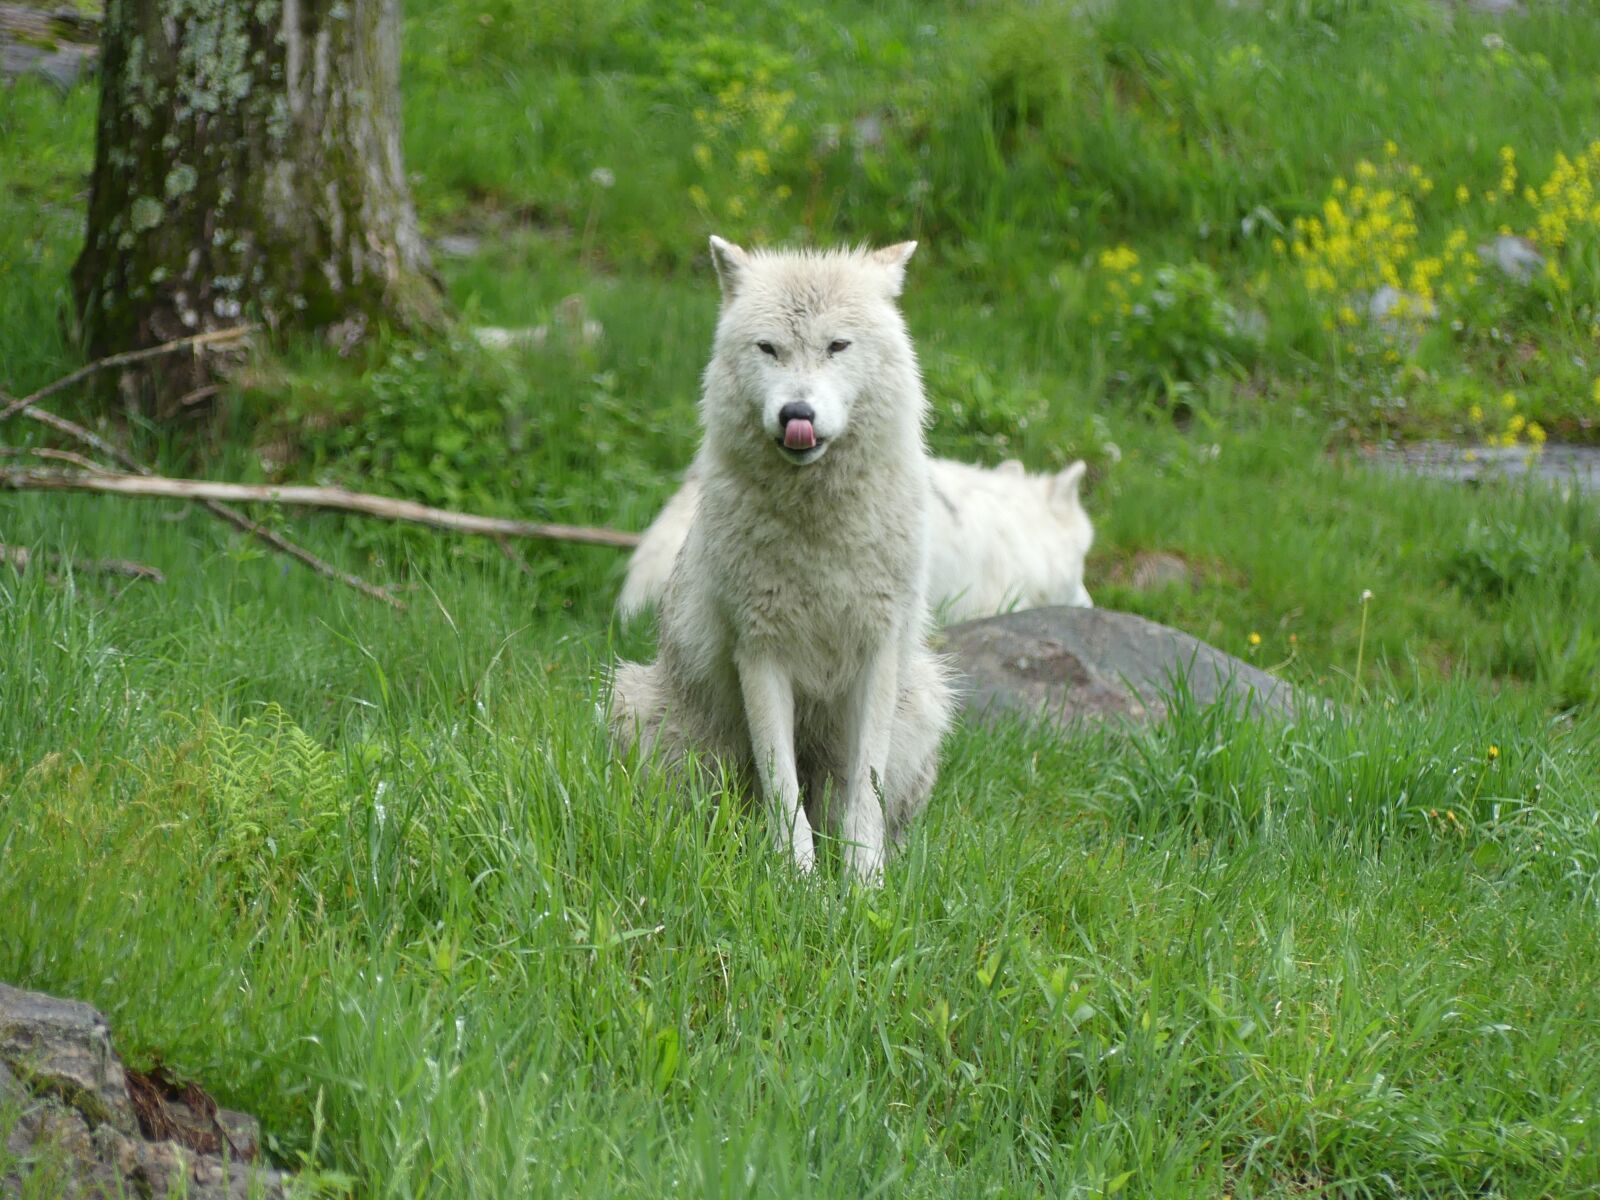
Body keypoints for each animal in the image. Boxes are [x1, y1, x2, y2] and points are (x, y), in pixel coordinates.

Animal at [609, 237, 955, 882]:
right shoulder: (760, 652)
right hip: (636, 706)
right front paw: (800, 883)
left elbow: (864, 795)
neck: (817, 529)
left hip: (925, 699)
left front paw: (863, 886)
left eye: (837, 346)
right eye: (768, 348)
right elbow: (783, 789)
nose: (798, 413)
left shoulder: (878, 651)